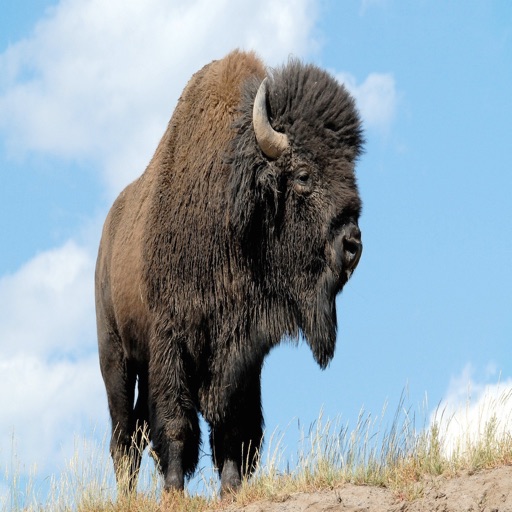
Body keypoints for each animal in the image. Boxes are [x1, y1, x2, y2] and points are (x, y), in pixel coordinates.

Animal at [96, 50, 364, 494]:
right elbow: (176, 420)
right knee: (124, 434)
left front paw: (231, 486)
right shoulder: (171, 339)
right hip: (116, 356)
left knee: (138, 427)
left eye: (350, 170)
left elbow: (234, 421)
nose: (353, 244)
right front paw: (174, 490)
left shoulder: (243, 348)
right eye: (304, 175)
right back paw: (127, 494)